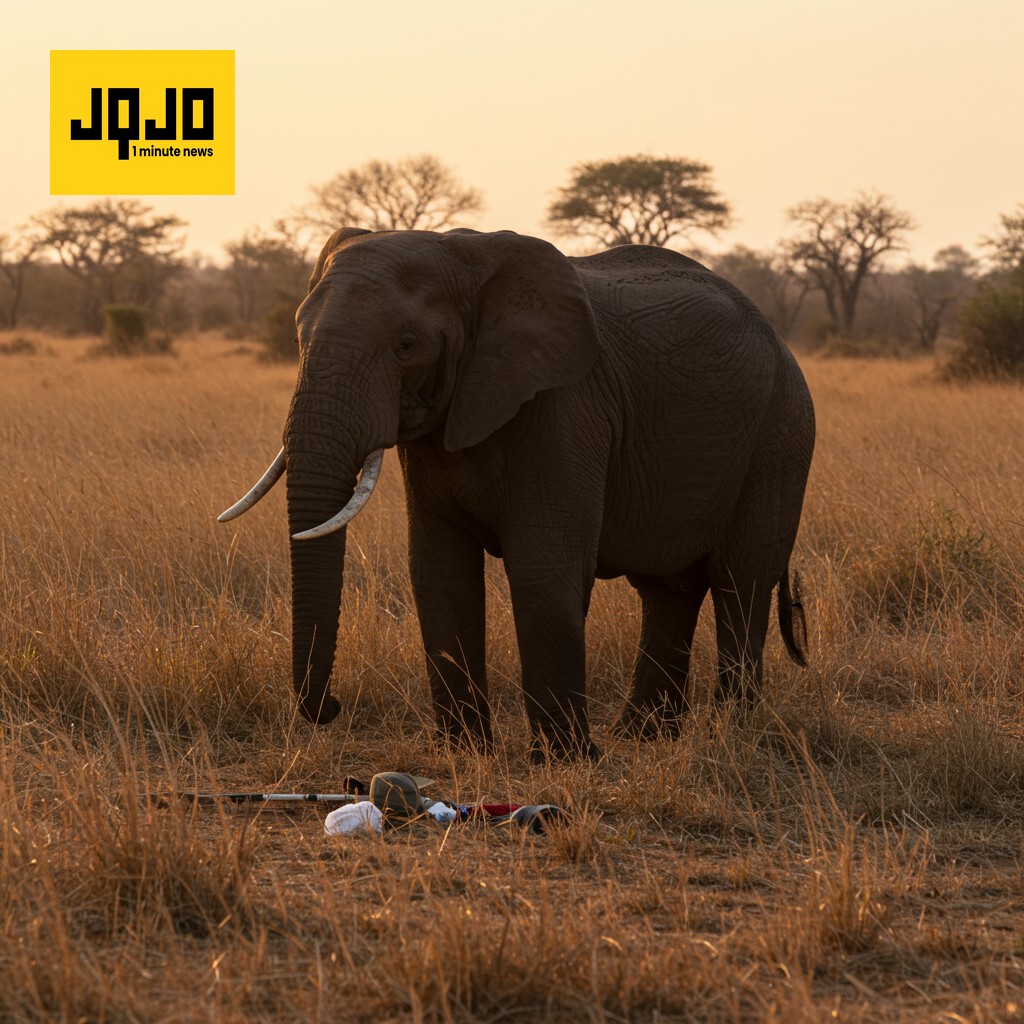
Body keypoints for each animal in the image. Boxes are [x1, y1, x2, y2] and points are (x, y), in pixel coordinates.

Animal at [220, 227, 815, 759]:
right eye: (299, 338)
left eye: (407, 346)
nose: (334, 708)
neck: (463, 258)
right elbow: (438, 570)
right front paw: (463, 753)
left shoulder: (565, 406)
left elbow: (543, 568)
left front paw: (564, 761)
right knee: (668, 590)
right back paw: (642, 737)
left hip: (781, 435)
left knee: (740, 582)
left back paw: (729, 734)